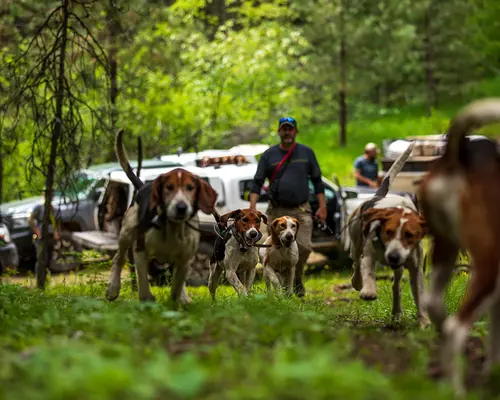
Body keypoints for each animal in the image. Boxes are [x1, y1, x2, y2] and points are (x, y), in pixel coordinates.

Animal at [106, 130, 218, 304]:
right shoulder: (140, 251)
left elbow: (176, 287)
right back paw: (113, 288)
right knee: (118, 258)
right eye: (169, 188)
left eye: (190, 188)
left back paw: (184, 297)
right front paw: (148, 301)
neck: (173, 228)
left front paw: (178, 302)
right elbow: (143, 287)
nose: (181, 207)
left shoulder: (185, 259)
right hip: (127, 232)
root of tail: (143, 186)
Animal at [344, 141, 430, 328]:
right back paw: (357, 282)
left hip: (399, 269)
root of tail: (378, 195)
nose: (393, 256)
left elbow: (420, 295)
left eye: (409, 235)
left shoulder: (415, 268)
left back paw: (397, 312)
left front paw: (424, 322)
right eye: (388, 232)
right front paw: (368, 291)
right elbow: (368, 270)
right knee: (356, 262)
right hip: (355, 242)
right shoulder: (369, 254)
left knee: (396, 286)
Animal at [418, 98, 500, 396]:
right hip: (491, 268)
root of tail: (459, 155)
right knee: (456, 328)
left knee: (435, 307)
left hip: (446, 248)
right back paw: (456, 390)